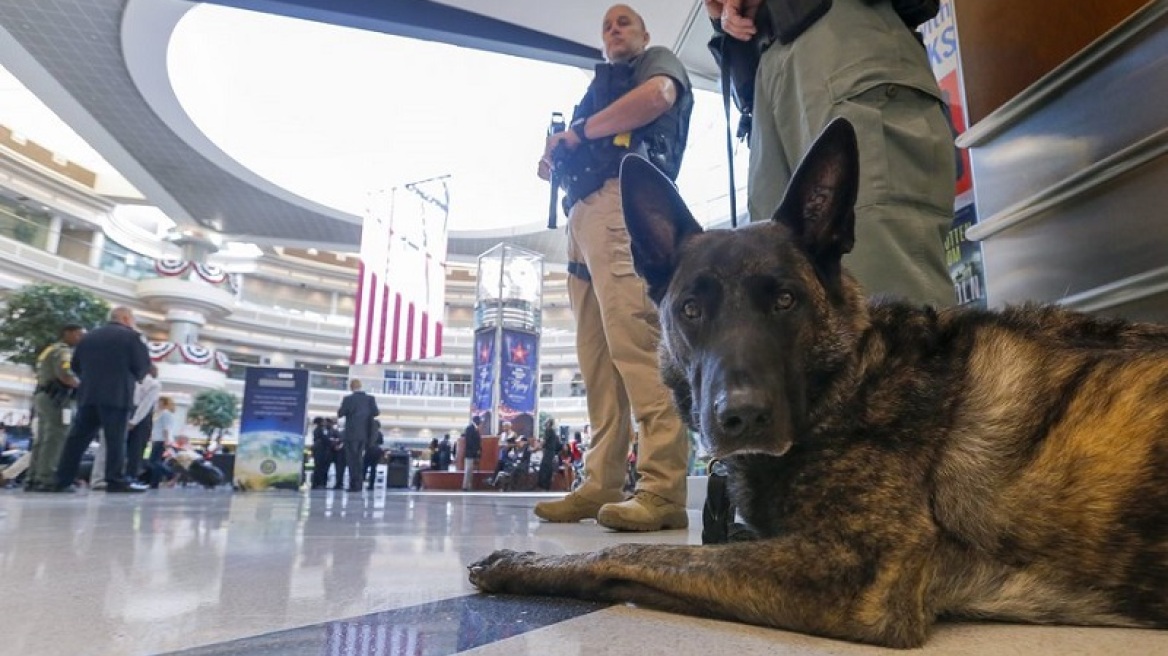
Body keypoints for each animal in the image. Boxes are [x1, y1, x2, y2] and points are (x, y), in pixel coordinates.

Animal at [467, 116, 1168, 644]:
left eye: (785, 301)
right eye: (691, 309)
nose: (741, 417)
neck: (851, 381)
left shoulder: (854, 569)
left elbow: (642, 554)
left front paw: (525, 563)